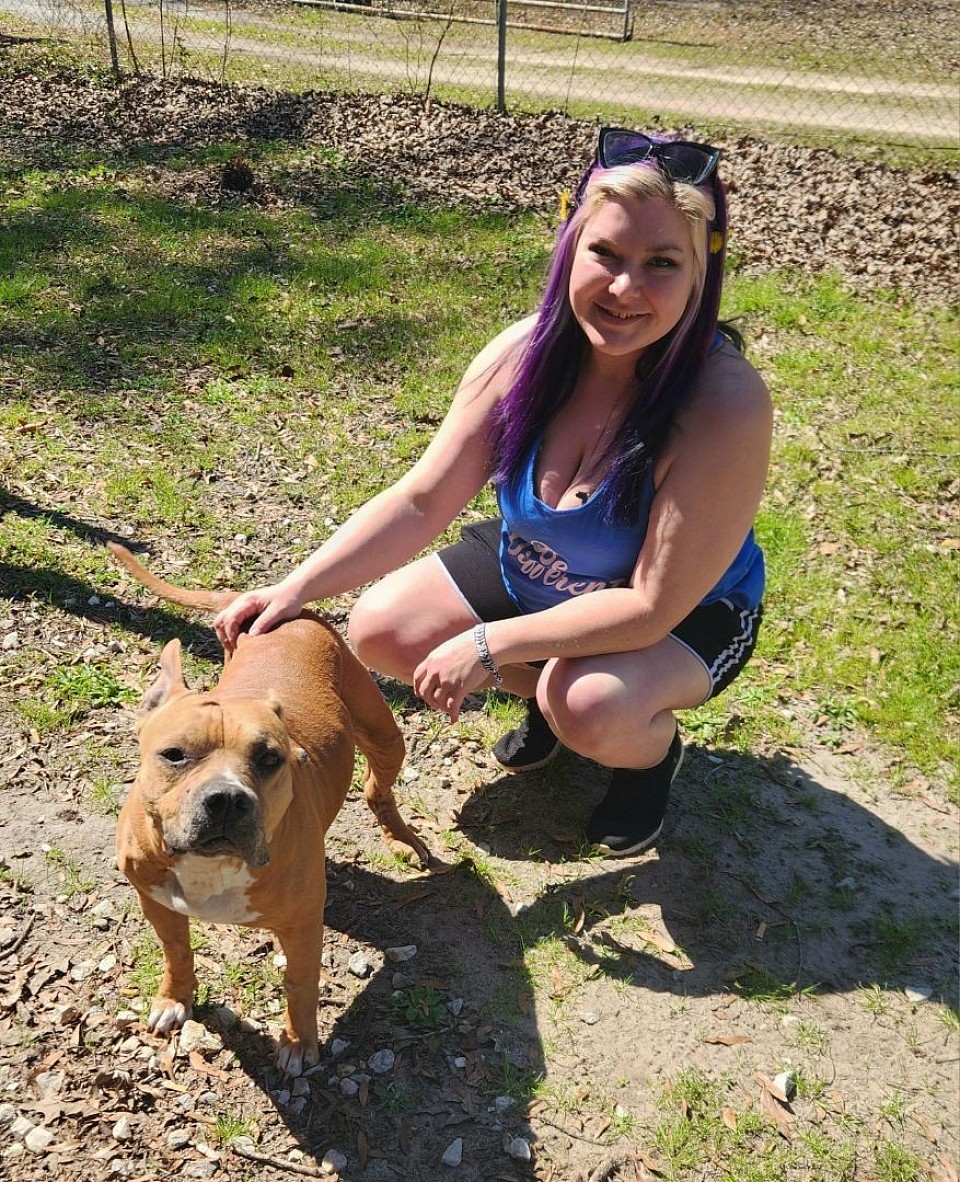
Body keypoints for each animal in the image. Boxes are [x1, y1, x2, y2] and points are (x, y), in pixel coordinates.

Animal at [108, 542, 429, 1075]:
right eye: (174, 754)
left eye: (268, 759)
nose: (226, 798)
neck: (212, 868)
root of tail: (284, 609)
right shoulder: (155, 899)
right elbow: (176, 951)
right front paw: (175, 998)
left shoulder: (301, 926)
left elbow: (300, 984)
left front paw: (299, 1043)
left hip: (385, 735)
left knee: (376, 788)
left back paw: (402, 839)